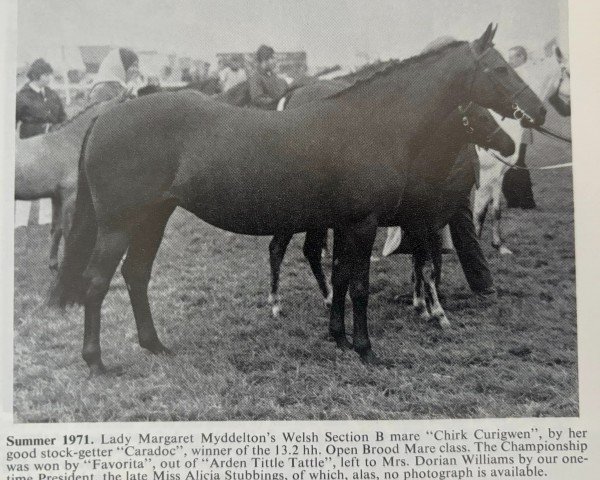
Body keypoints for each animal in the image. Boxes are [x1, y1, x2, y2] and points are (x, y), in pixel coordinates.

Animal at [14, 97, 120, 270]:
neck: (69, 142)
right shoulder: (70, 197)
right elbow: (69, 232)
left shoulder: (56, 197)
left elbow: (56, 230)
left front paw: (54, 266)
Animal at [476, 44, 568, 255]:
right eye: (568, 72)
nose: (568, 110)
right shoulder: (486, 173)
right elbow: (478, 211)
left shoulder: (499, 173)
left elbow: (494, 209)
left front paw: (499, 245)